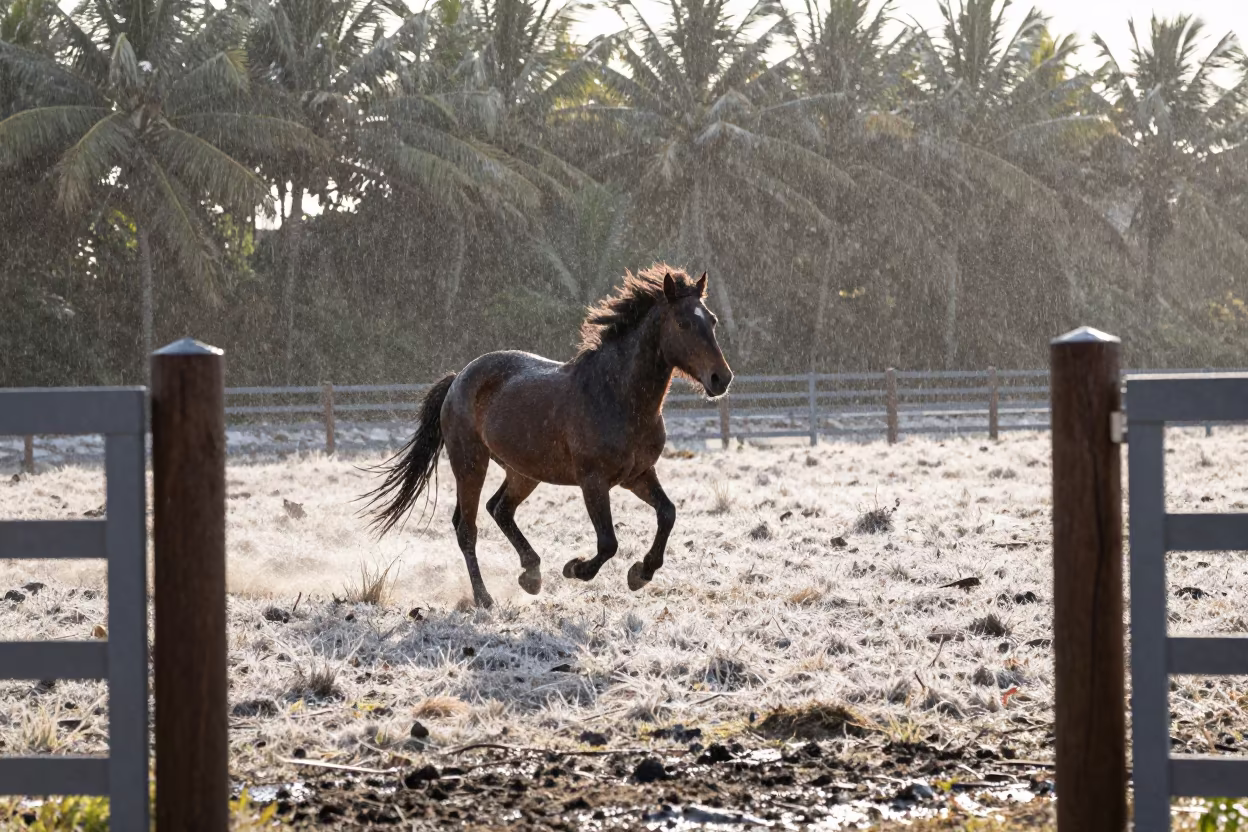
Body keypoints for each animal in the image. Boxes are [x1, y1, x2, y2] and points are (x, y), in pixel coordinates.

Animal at [358, 264, 734, 608]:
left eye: (712, 321)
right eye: (683, 323)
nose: (721, 379)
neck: (618, 397)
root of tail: (458, 378)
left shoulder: (638, 475)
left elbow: (667, 513)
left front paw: (640, 573)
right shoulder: (593, 481)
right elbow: (608, 542)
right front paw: (576, 569)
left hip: (523, 471)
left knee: (499, 509)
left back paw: (531, 574)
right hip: (470, 463)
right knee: (468, 528)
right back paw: (484, 598)